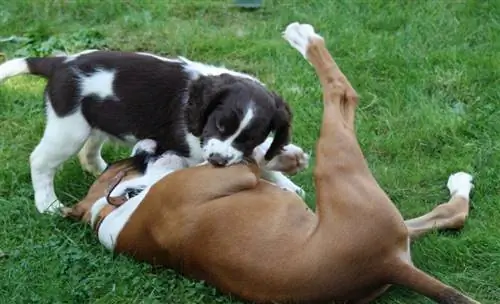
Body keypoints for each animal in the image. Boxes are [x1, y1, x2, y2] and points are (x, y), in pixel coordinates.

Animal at [0, 50, 306, 213]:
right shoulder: (195, 154)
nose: (218, 161)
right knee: (40, 161)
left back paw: (102, 169)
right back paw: (47, 204)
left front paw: (288, 184)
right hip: (69, 128)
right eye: (220, 125)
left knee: (89, 152)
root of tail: (61, 63)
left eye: (250, 136)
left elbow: (260, 157)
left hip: (94, 120)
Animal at [63, 22, 480, 302]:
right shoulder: (228, 173)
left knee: (452, 214)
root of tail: (386, 263)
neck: (116, 208)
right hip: (339, 164)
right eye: (128, 164)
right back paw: (305, 38)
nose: (145, 146)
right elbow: (251, 161)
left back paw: (459, 183)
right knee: (342, 93)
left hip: (393, 223)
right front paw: (286, 159)